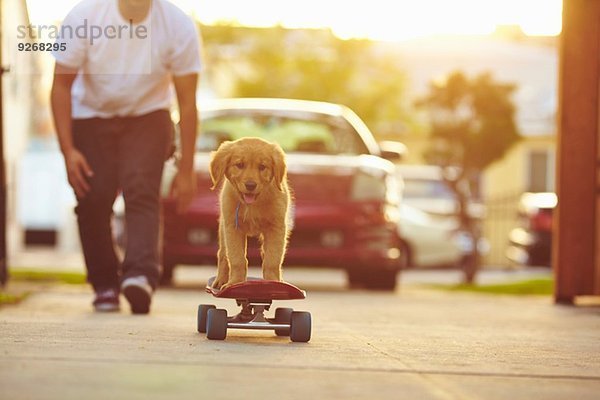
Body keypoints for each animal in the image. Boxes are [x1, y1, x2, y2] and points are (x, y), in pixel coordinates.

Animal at [209, 137, 290, 288]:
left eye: (262, 167)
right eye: (239, 165)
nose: (250, 185)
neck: (252, 205)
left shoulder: (276, 228)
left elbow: (272, 259)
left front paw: (274, 282)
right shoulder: (232, 228)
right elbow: (237, 259)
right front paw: (234, 283)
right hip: (223, 230)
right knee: (222, 254)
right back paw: (221, 280)